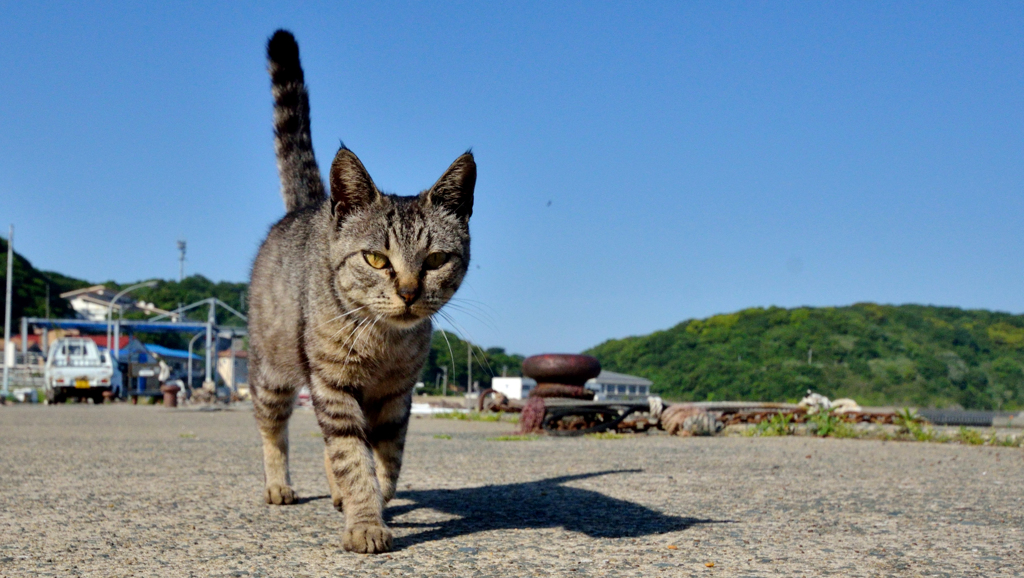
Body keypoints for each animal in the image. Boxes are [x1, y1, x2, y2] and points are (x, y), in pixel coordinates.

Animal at [247, 29, 475, 553]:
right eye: (376, 259)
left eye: (435, 261)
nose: (409, 292)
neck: (383, 342)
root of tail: (315, 203)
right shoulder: (333, 384)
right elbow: (353, 460)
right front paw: (366, 522)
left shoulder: (396, 396)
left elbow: (385, 459)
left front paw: (370, 500)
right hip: (273, 372)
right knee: (273, 429)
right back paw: (278, 484)